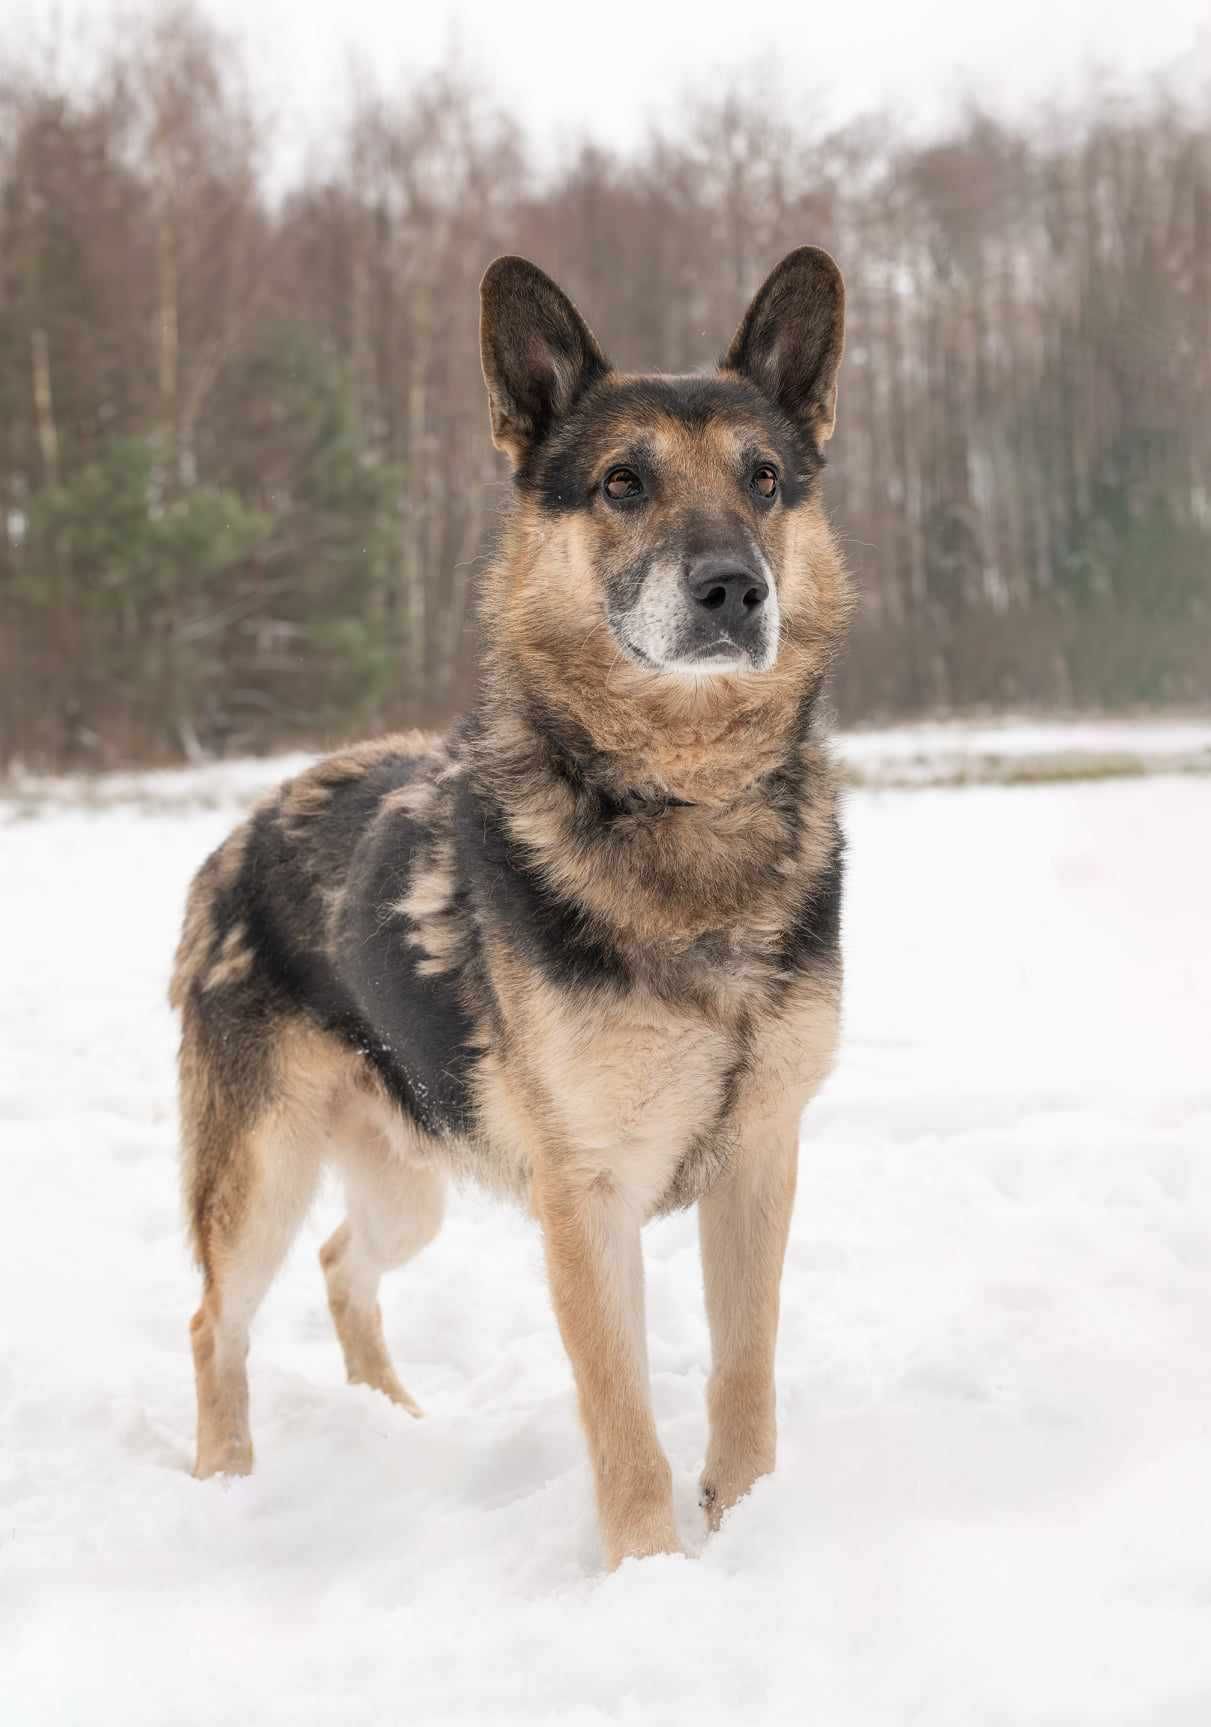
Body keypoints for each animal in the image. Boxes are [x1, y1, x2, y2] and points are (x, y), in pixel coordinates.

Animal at [170, 250, 849, 1575]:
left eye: (763, 479)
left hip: (410, 1181)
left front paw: (748, 1528)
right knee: (215, 1318)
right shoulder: (585, 1200)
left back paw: (394, 1422)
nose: (732, 588)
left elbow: (743, 1380)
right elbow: (623, 1422)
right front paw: (650, 1578)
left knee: (342, 1264)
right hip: (262, 1171)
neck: (680, 805)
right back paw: (226, 1484)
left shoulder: (758, 1160)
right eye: (622, 482)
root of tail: (241, 829)